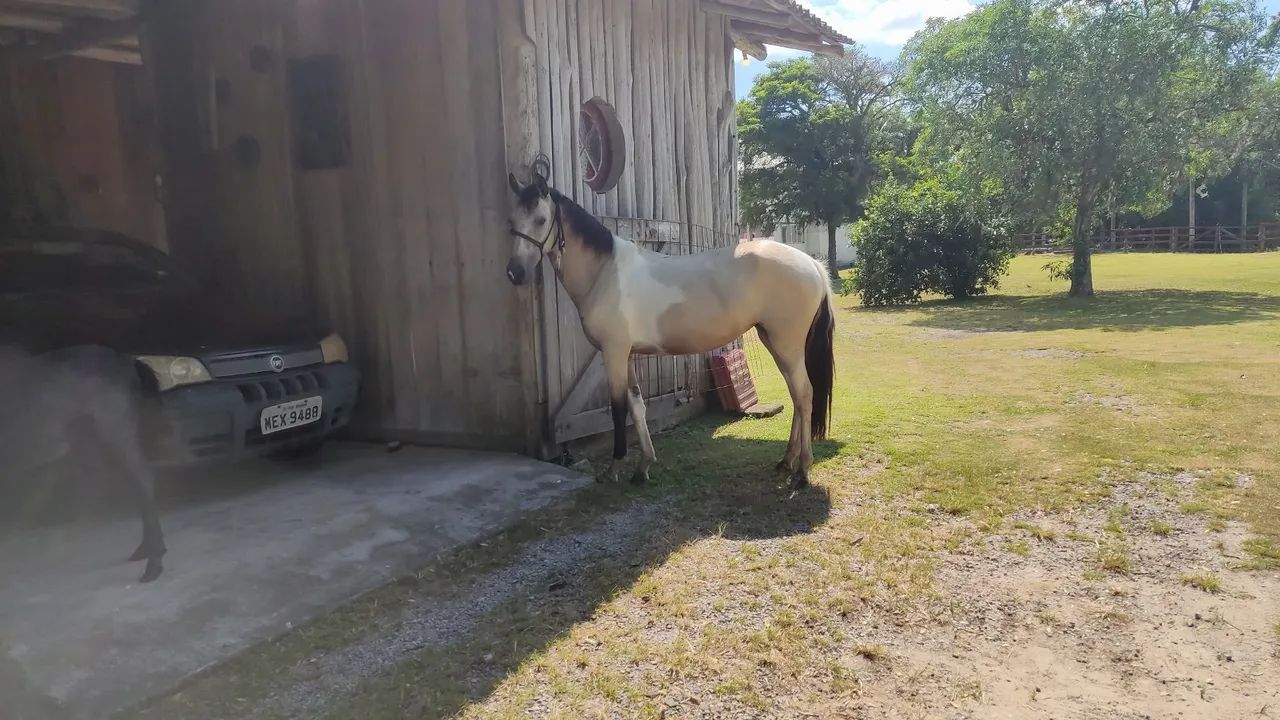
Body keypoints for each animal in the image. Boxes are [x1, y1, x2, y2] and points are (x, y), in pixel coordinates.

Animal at [505, 172, 834, 489]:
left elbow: (618, 409)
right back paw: (786, 461)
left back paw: (803, 471)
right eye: (511, 221)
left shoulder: (613, 353)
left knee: (804, 394)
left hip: (787, 344)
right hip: (774, 341)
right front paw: (643, 467)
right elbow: (637, 406)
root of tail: (813, 265)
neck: (604, 272)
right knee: (796, 396)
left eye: (541, 219)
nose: (514, 273)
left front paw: (614, 469)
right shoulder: (627, 355)